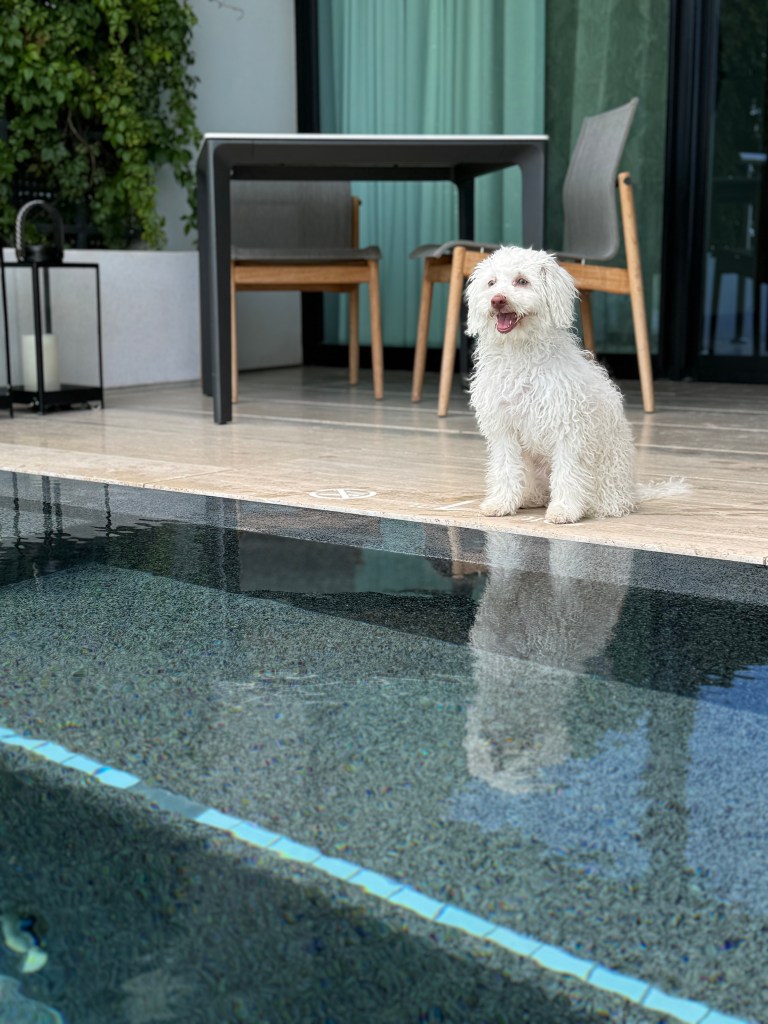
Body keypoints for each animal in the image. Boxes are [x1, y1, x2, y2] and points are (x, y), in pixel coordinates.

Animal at [466, 246, 687, 523]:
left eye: (522, 281)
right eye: (491, 283)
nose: (497, 300)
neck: (521, 356)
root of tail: (632, 493)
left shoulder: (567, 428)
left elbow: (568, 472)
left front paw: (564, 509)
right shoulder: (504, 429)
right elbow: (505, 468)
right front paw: (501, 503)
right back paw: (528, 498)